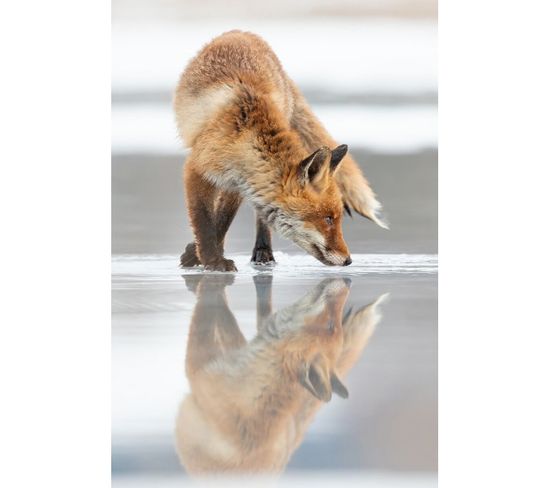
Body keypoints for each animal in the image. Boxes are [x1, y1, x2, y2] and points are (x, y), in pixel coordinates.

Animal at [174, 31, 388, 270]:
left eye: (337, 218)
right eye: (328, 219)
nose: (349, 260)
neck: (244, 136)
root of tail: (242, 32)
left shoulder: (236, 183)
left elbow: (222, 221)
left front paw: (200, 256)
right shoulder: (198, 170)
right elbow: (204, 221)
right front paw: (211, 259)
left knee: (261, 217)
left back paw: (263, 252)